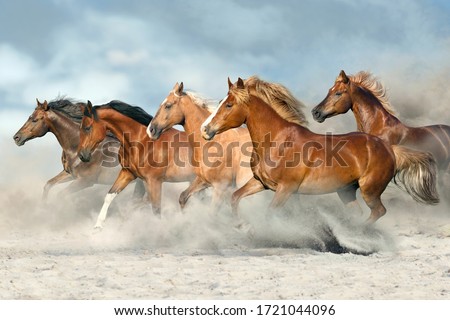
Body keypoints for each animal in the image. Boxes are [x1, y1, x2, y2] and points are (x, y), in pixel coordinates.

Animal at [12, 98, 143, 200]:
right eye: (29, 117)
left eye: (34, 120)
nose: (16, 138)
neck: (75, 148)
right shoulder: (69, 174)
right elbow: (48, 185)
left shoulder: (85, 181)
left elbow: (60, 195)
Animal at [78, 100, 194, 228]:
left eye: (87, 128)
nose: (82, 155)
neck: (142, 142)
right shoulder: (128, 173)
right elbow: (110, 195)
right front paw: (97, 227)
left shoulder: (154, 181)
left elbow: (156, 209)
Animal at [149, 76, 308, 211]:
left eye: (168, 105)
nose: (151, 129)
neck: (213, 144)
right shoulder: (204, 181)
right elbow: (183, 197)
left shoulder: (220, 186)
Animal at [201, 77, 440, 222]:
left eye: (229, 105)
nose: (205, 129)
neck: (278, 141)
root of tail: (390, 148)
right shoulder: (262, 183)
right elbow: (235, 198)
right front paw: (241, 226)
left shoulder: (286, 189)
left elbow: (270, 214)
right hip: (346, 191)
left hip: (369, 190)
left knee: (378, 212)